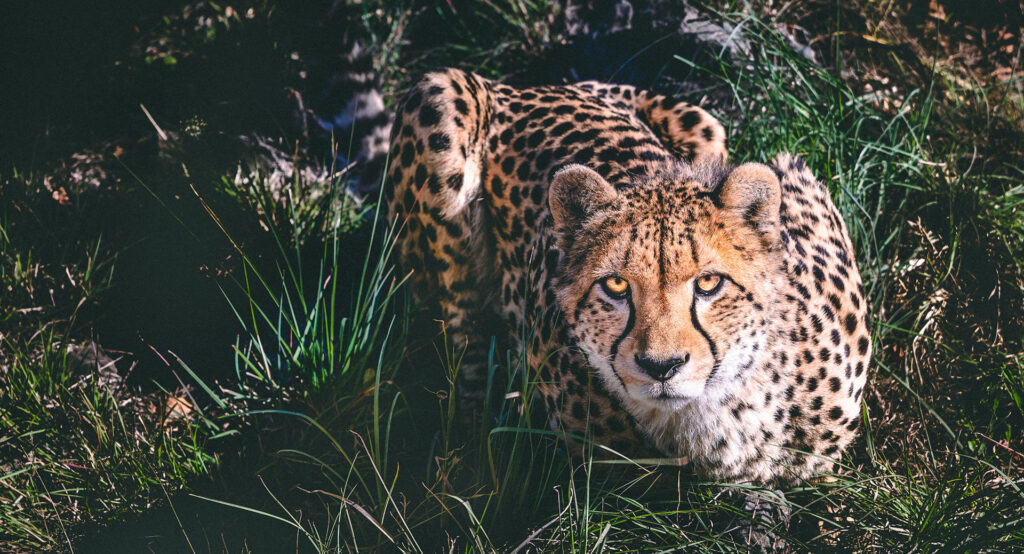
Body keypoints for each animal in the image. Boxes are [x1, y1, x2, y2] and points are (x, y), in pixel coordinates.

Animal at [383, 68, 871, 494]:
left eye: (709, 283)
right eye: (616, 286)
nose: (662, 366)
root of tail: (524, 87)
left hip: (707, 126)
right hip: (439, 99)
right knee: (460, 336)